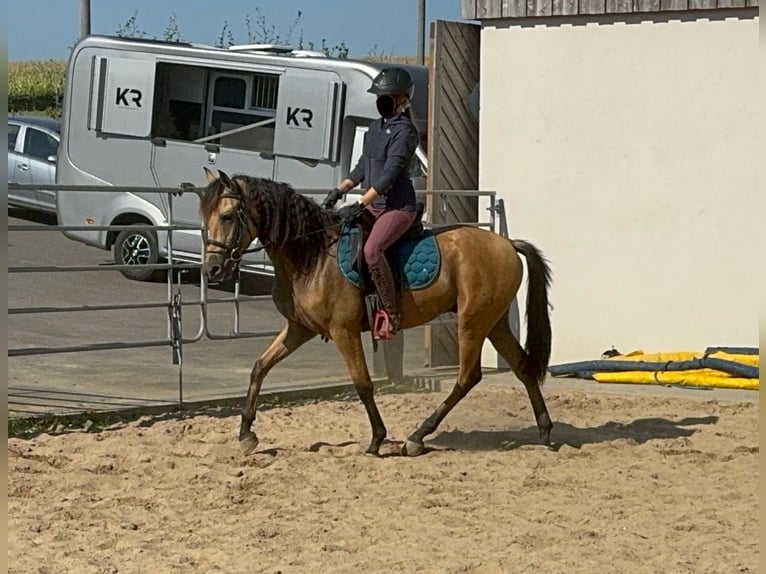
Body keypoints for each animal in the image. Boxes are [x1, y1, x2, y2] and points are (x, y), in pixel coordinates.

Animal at [201, 168, 556, 460]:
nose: (213, 269)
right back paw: (545, 431)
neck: (313, 256)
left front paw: (376, 440)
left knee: (468, 377)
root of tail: (507, 244)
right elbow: (259, 368)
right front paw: (246, 434)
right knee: (523, 367)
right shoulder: (300, 329)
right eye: (204, 216)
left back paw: (416, 437)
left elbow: (363, 383)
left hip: (472, 323)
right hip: (493, 323)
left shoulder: (343, 331)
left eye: (229, 216)